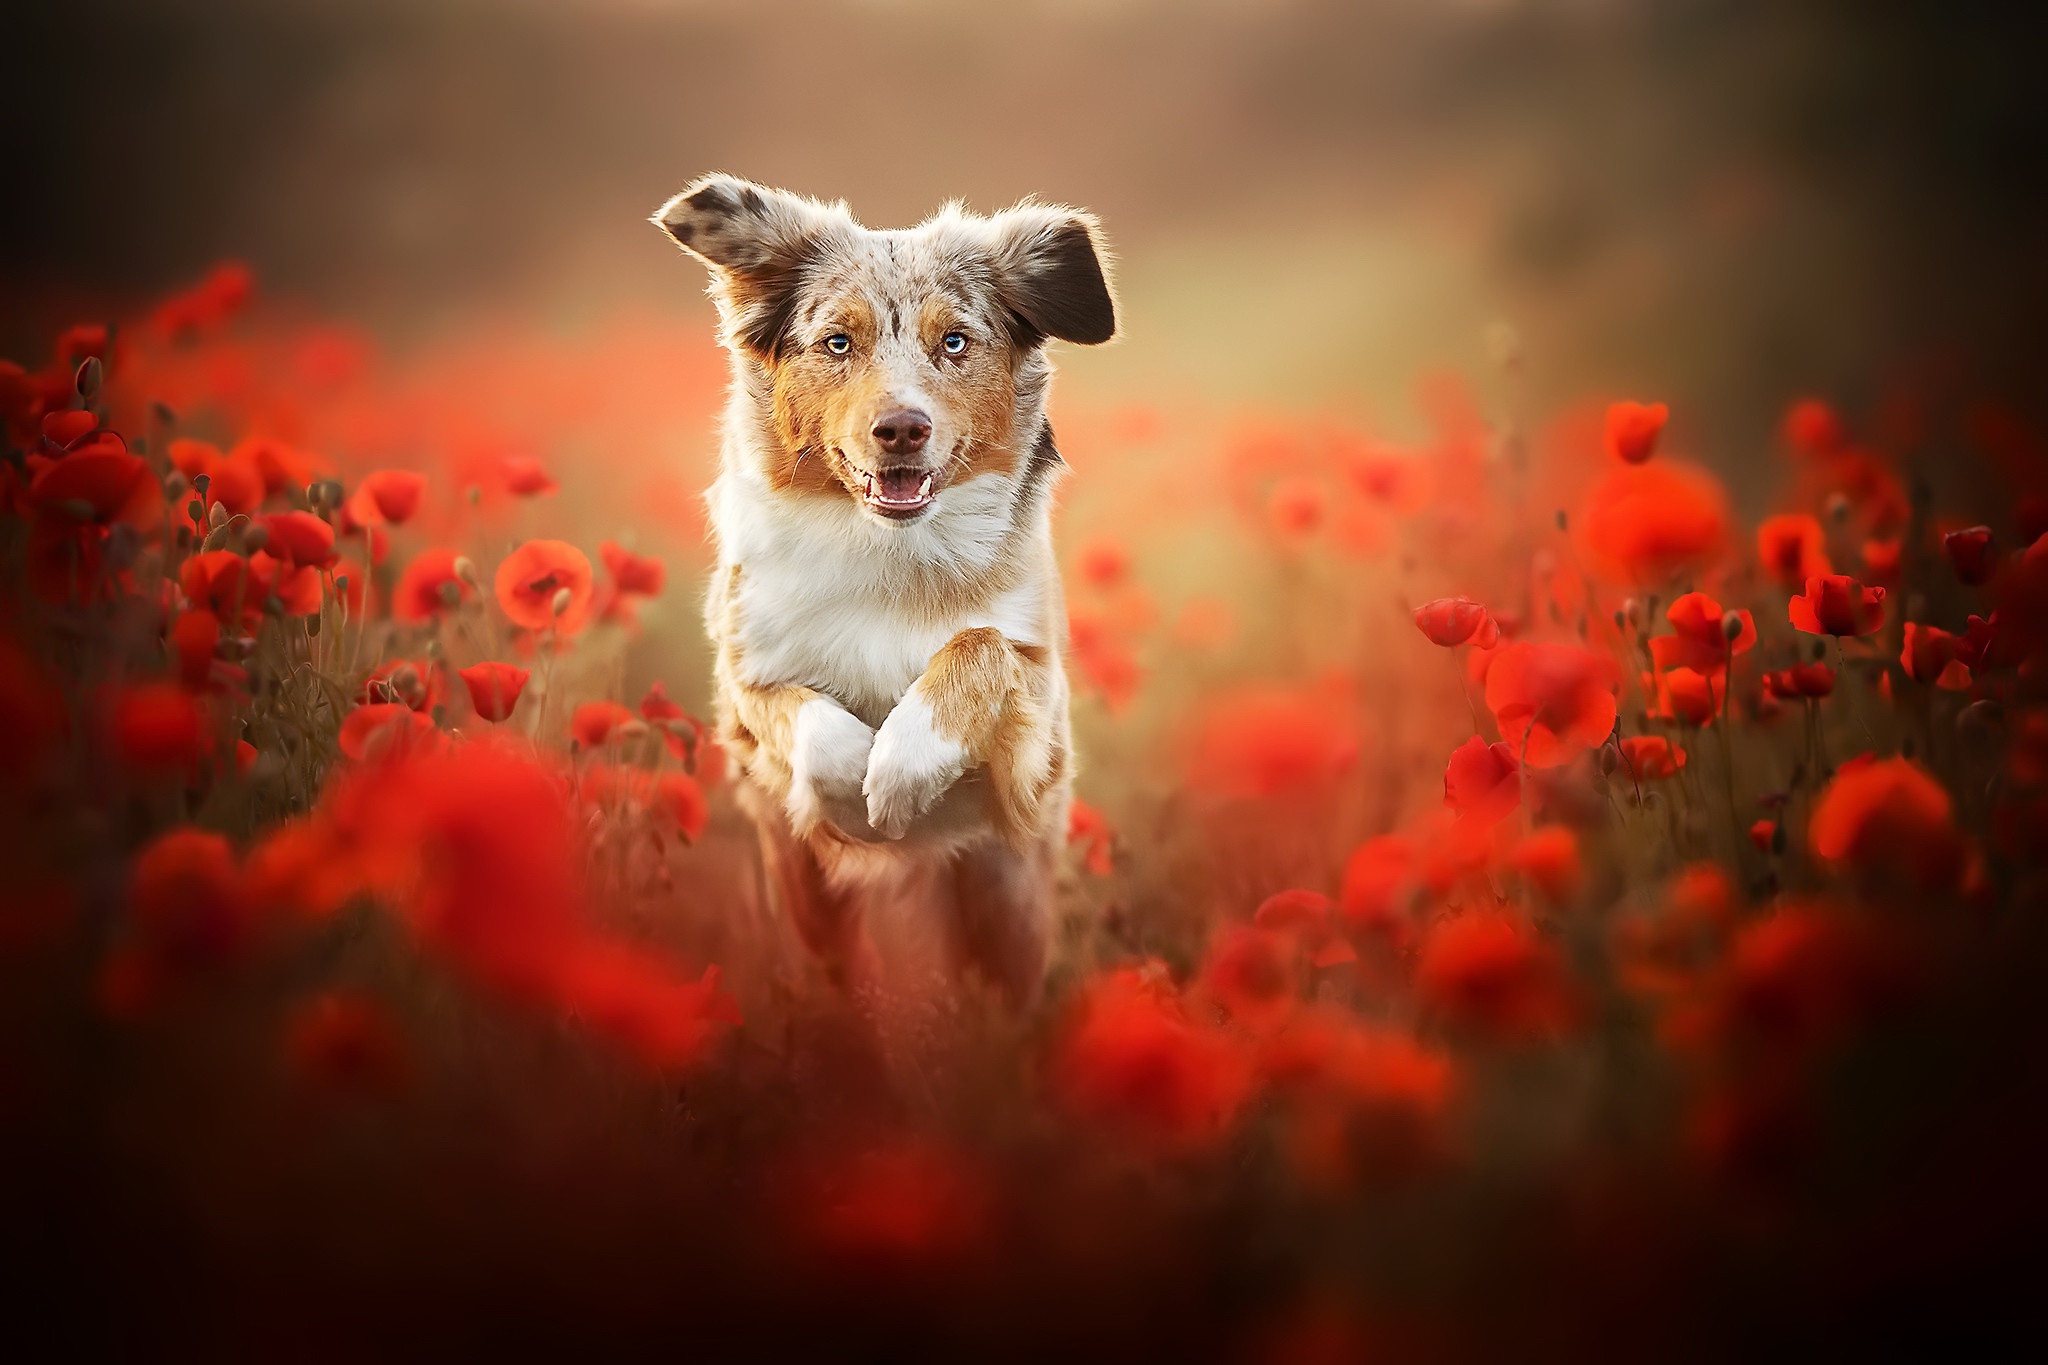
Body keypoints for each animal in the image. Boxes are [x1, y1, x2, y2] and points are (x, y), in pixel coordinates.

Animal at [655, 173, 1122, 1002]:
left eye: (955, 341)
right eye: (838, 342)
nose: (902, 428)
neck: (888, 554)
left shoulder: (1037, 712)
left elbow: (979, 643)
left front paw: (902, 767)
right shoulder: (746, 679)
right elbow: (809, 719)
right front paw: (858, 790)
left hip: (1009, 895)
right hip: (809, 901)